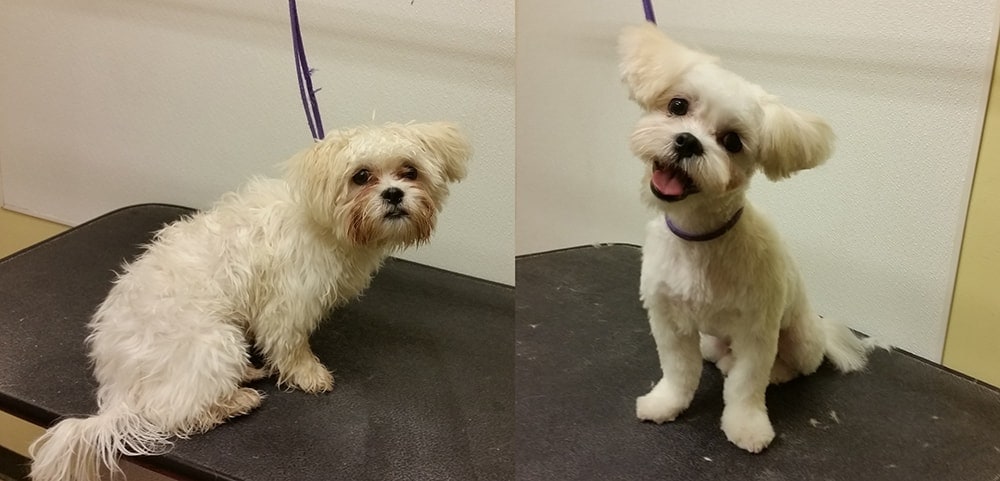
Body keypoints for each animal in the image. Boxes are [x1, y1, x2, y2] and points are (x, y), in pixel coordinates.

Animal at [27, 122, 472, 478]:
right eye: (361, 176)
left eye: (409, 171)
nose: (395, 194)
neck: (325, 223)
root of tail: (117, 386)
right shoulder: (288, 304)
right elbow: (291, 346)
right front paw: (309, 374)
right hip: (215, 340)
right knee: (172, 412)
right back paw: (235, 401)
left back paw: (248, 375)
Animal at [616, 24, 876, 452]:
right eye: (677, 105)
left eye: (732, 141)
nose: (687, 141)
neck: (699, 237)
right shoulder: (669, 320)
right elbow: (678, 370)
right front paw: (666, 403)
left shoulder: (757, 331)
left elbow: (745, 385)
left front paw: (747, 427)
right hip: (711, 336)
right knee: (716, 354)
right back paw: (720, 357)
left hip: (799, 339)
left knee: (791, 366)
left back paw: (777, 373)